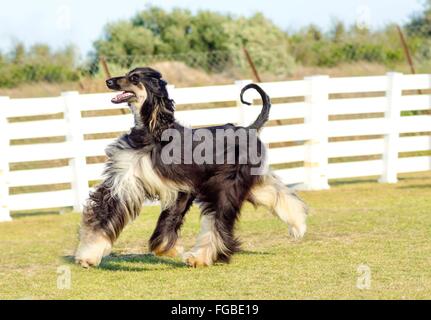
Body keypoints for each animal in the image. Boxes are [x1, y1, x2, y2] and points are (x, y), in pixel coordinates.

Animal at [76, 67, 308, 268]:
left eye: (134, 78)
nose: (109, 81)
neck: (154, 131)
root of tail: (248, 129)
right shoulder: (126, 180)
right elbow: (105, 217)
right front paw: (89, 255)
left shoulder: (182, 187)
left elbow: (170, 219)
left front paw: (168, 248)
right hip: (246, 181)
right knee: (275, 192)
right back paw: (298, 224)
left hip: (226, 186)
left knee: (218, 221)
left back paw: (200, 257)